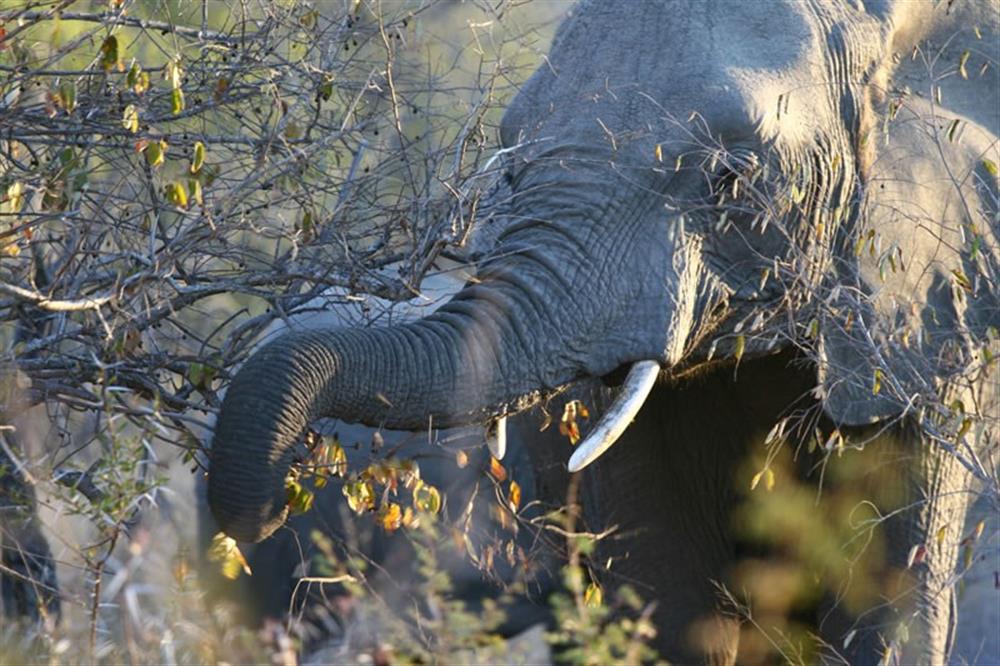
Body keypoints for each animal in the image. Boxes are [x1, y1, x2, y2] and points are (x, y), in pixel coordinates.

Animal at [207, 2, 996, 660]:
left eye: (730, 177)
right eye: (508, 156)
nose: (275, 501)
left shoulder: (929, 321)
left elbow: (892, 602)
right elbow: (665, 595)